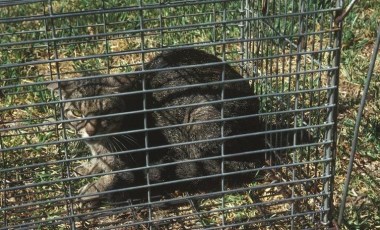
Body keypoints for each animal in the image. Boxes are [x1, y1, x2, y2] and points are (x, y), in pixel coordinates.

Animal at [48, 49, 264, 207]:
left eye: (105, 112)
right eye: (76, 113)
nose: (91, 131)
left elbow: (115, 177)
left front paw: (92, 190)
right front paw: (89, 167)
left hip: (201, 117)